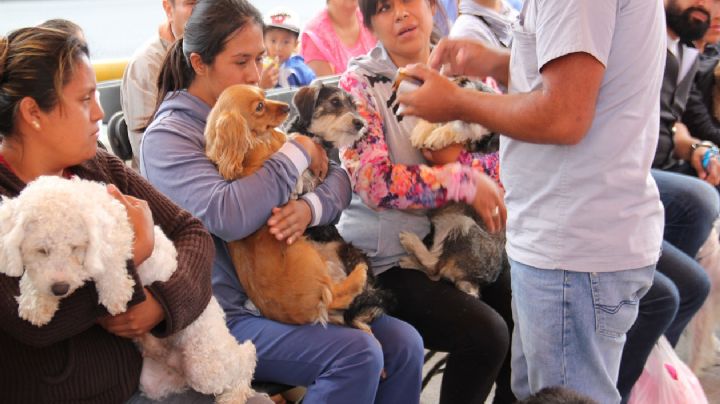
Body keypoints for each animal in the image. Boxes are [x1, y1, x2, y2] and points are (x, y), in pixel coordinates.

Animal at [0, 177, 256, 404]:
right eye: (41, 250)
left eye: (75, 247)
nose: (60, 289)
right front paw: (36, 302)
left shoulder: (119, 233)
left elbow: (110, 260)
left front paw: (114, 292)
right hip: (156, 380)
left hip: (205, 365)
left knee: (244, 361)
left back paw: (234, 394)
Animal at [204, 85, 368, 328]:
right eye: (259, 106)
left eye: (264, 94)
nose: (286, 107)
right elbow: (291, 146)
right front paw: (295, 177)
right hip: (308, 256)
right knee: (333, 295)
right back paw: (359, 274)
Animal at [394, 69, 506, 296]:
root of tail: (472, 281)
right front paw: (423, 130)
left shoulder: (471, 140)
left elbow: (458, 133)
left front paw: (436, 136)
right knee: (435, 272)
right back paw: (409, 260)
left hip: (463, 226)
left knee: (434, 267)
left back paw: (409, 242)